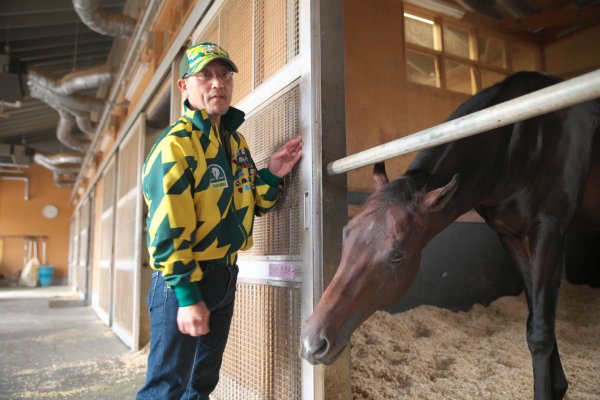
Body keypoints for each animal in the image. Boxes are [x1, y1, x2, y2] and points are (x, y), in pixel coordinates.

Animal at [300, 72, 600, 400]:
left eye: (396, 255)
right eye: (346, 233)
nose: (312, 342)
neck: (519, 143)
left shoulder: (548, 230)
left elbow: (541, 329)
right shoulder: (512, 237)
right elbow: (537, 313)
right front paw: (559, 386)